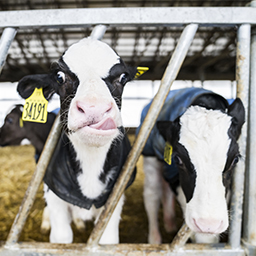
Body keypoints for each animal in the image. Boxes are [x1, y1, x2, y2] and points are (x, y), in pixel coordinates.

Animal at [16, 37, 137, 243]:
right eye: (59, 77)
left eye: (122, 77)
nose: (94, 108)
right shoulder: (54, 193)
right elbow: (62, 237)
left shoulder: (115, 200)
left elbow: (107, 240)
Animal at [138, 87, 246, 244]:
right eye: (177, 159)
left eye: (235, 160)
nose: (208, 224)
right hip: (149, 153)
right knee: (152, 194)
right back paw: (154, 239)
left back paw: (169, 223)